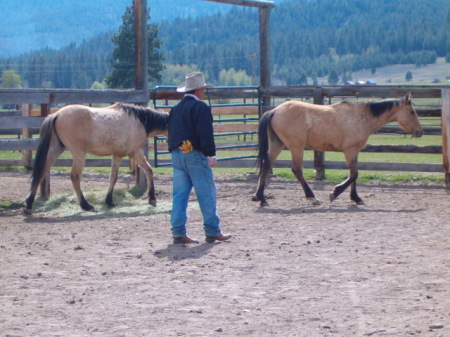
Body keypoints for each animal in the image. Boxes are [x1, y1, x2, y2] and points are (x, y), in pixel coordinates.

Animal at [25, 102, 169, 213]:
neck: (140, 121)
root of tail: (56, 114)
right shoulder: (135, 153)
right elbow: (149, 170)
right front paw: (152, 199)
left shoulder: (117, 155)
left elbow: (113, 177)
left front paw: (109, 201)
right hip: (78, 153)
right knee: (75, 177)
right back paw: (85, 205)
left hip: (56, 149)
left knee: (41, 171)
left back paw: (29, 204)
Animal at [251, 92, 424, 207]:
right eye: (412, 112)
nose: (419, 132)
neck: (361, 117)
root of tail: (274, 111)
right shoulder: (350, 150)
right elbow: (354, 175)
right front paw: (335, 193)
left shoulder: (355, 151)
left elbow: (354, 174)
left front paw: (356, 198)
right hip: (296, 146)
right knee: (296, 170)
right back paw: (312, 197)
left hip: (278, 144)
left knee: (266, 166)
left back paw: (261, 198)